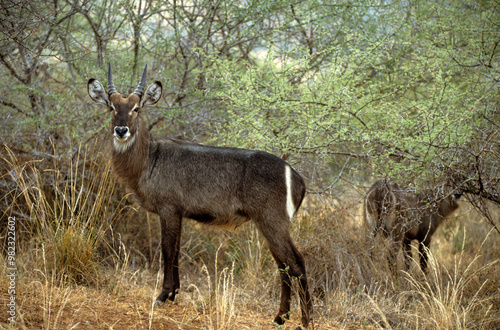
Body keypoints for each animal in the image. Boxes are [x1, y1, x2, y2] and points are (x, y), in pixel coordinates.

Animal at [88, 63, 310, 328]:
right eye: (111, 107)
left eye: (136, 108)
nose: (121, 130)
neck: (149, 159)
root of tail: (297, 177)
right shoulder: (179, 213)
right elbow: (176, 250)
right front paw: (174, 293)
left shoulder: (169, 209)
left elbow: (167, 249)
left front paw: (162, 296)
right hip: (269, 225)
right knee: (283, 266)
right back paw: (279, 317)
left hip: (273, 222)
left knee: (296, 263)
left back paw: (305, 321)